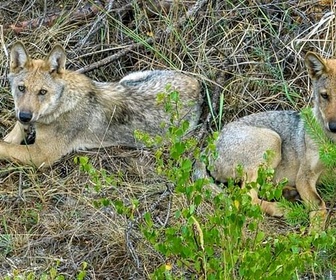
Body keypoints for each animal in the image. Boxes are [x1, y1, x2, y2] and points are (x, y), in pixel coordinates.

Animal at [1, 41, 202, 166]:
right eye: (21, 88)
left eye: (42, 92)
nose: (25, 116)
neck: (61, 105)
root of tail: (197, 85)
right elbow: (10, 137)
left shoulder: (41, 155)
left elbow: (4, 146)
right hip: (127, 79)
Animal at [197, 52, 336, 230]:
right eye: (325, 96)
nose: (333, 126)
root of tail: (209, 145)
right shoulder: (304, 177)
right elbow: (320, 205)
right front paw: (316, 232)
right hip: (272, 141)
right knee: (245, 198)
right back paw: (282, 207)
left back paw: (288, 193)